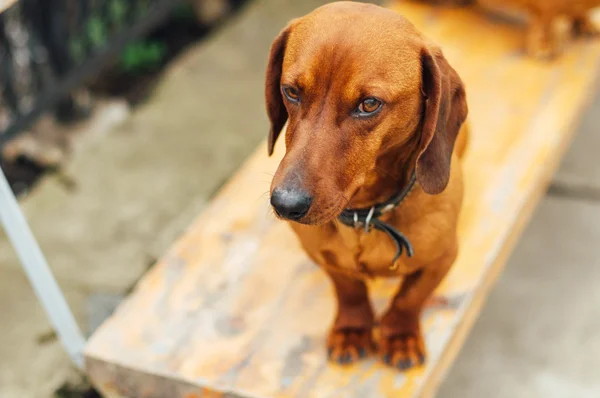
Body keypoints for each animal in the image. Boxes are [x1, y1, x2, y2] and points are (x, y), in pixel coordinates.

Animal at [268, 2, 468, 370]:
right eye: (291, 91)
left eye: (369, 104)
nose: (286, 204)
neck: (366, 215)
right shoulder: (323, 257)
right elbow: (349, 290)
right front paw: (353, 329)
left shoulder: (443, 258)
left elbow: (409, 298)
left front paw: (400, 335)